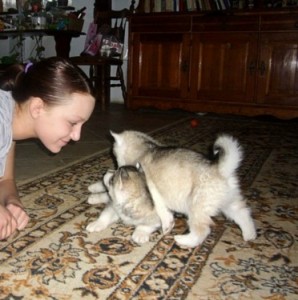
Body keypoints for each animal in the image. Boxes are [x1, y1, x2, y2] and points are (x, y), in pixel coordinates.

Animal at [109, 131, 256, 248]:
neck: (145, 150)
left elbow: (160, 206)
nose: (117, 168)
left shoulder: (151, 185)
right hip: (229, 203)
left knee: (202, 230)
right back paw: (250, 234)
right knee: (243, 213)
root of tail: (221, 170)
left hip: (197, 206)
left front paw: (167, 223)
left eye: (115, 157)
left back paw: (184, 240)